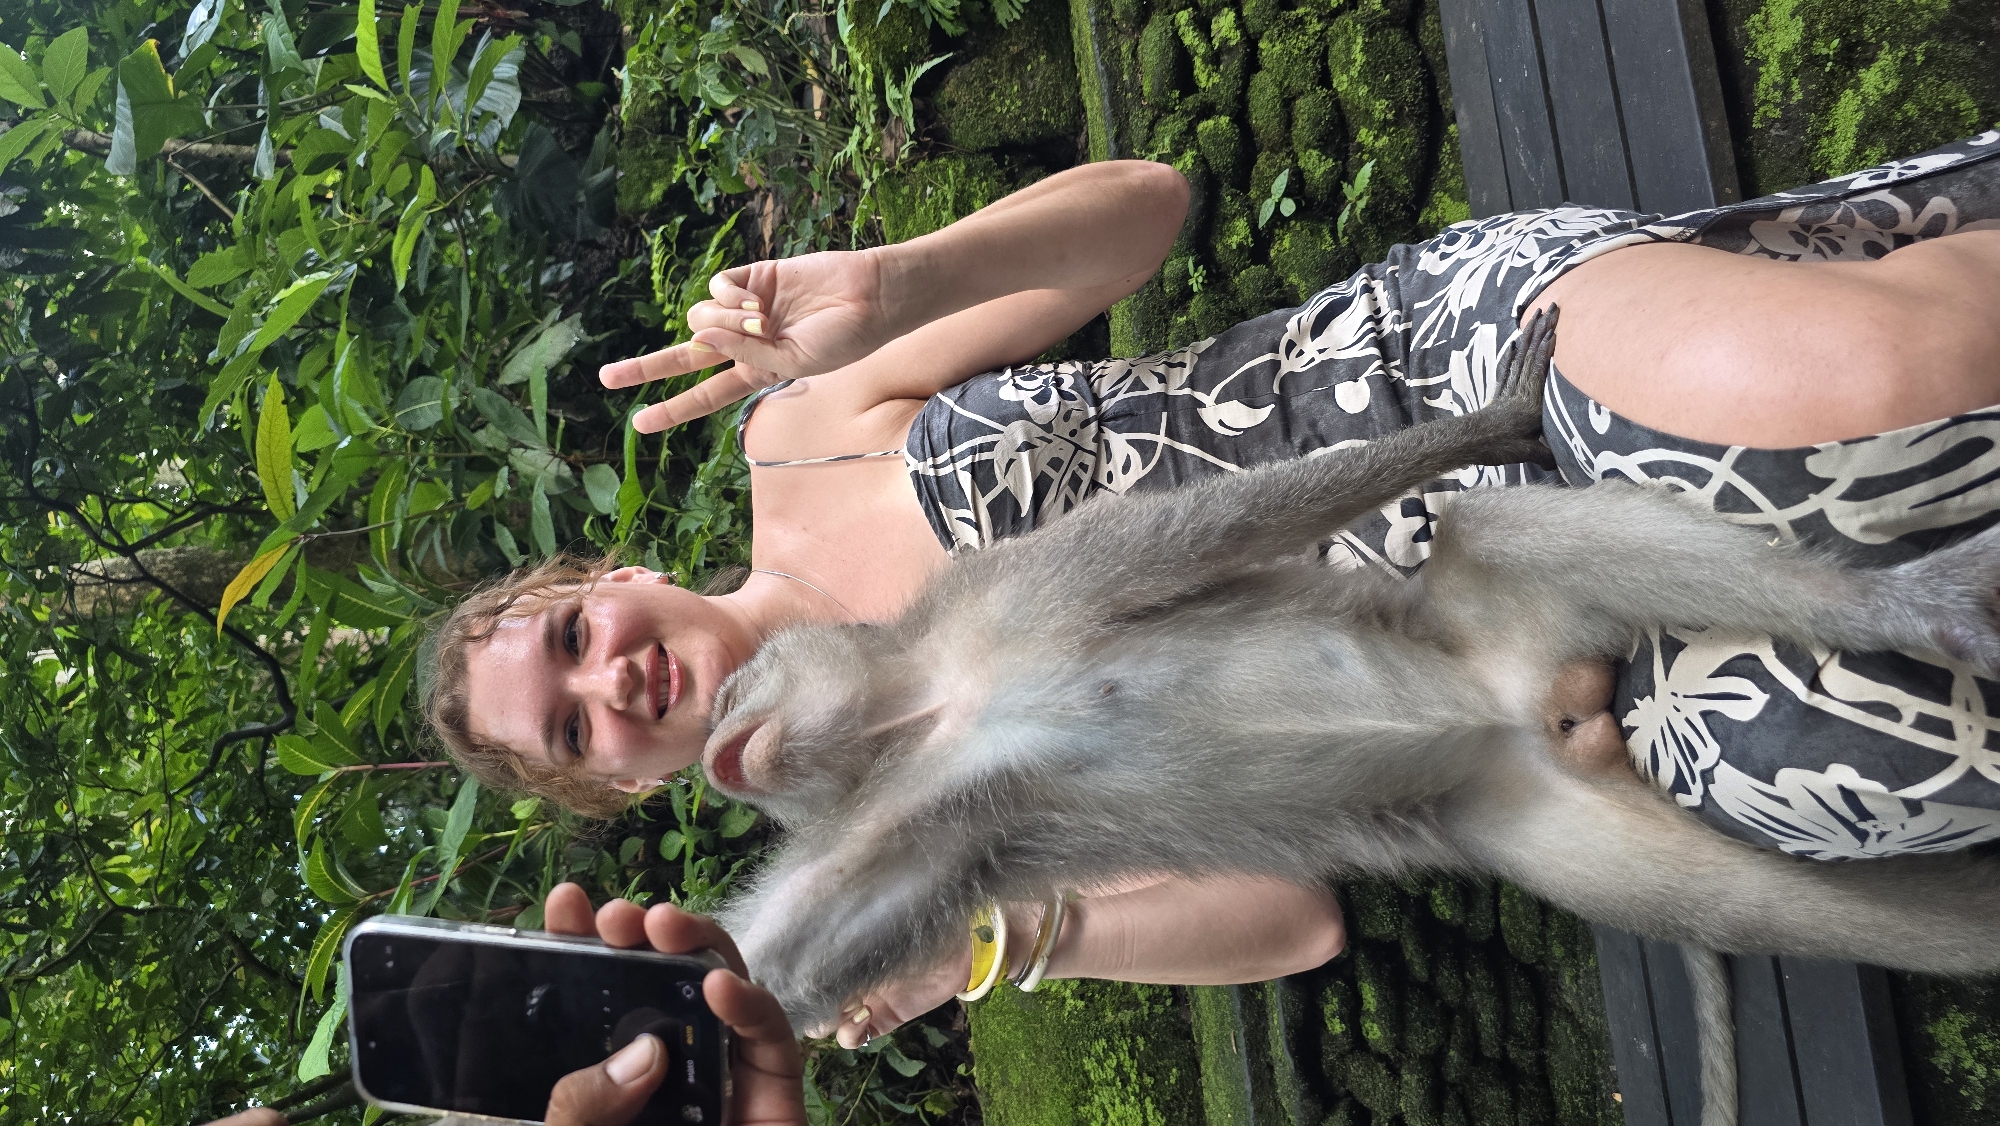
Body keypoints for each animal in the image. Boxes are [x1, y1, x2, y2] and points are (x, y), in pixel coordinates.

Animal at [700, 309, 2000, 1126]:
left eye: (724, 688)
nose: (713, 758)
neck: (928, 703)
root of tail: (1544, 710)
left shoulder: (1030, 584)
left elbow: (1232, 524)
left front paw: (1486, 430)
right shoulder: (904, 817)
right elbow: (766, 970)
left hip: (1501, 637)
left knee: (1495, 530)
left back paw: (1893, 609)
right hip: (1525, 812)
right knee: (1754, 905)